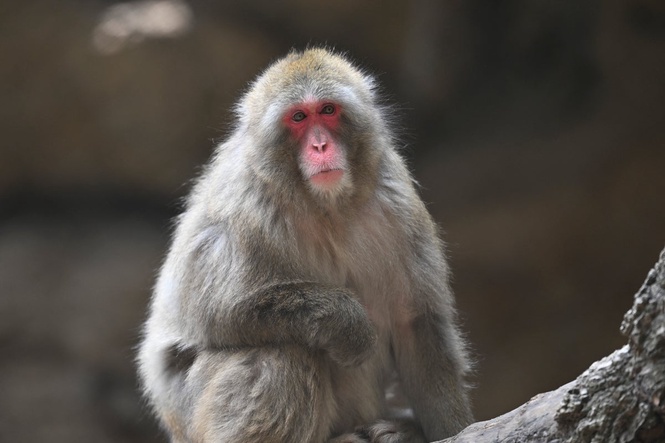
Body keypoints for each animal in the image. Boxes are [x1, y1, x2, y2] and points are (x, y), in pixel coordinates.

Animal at [137, 47, 473, 443]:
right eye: (298, 117)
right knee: (284, 351)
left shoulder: (398, 202)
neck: (324, 206)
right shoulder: (244, 209)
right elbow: (217, 314)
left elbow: (417, 324)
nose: (320, 145)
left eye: (327, 110)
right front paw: (347, 322)